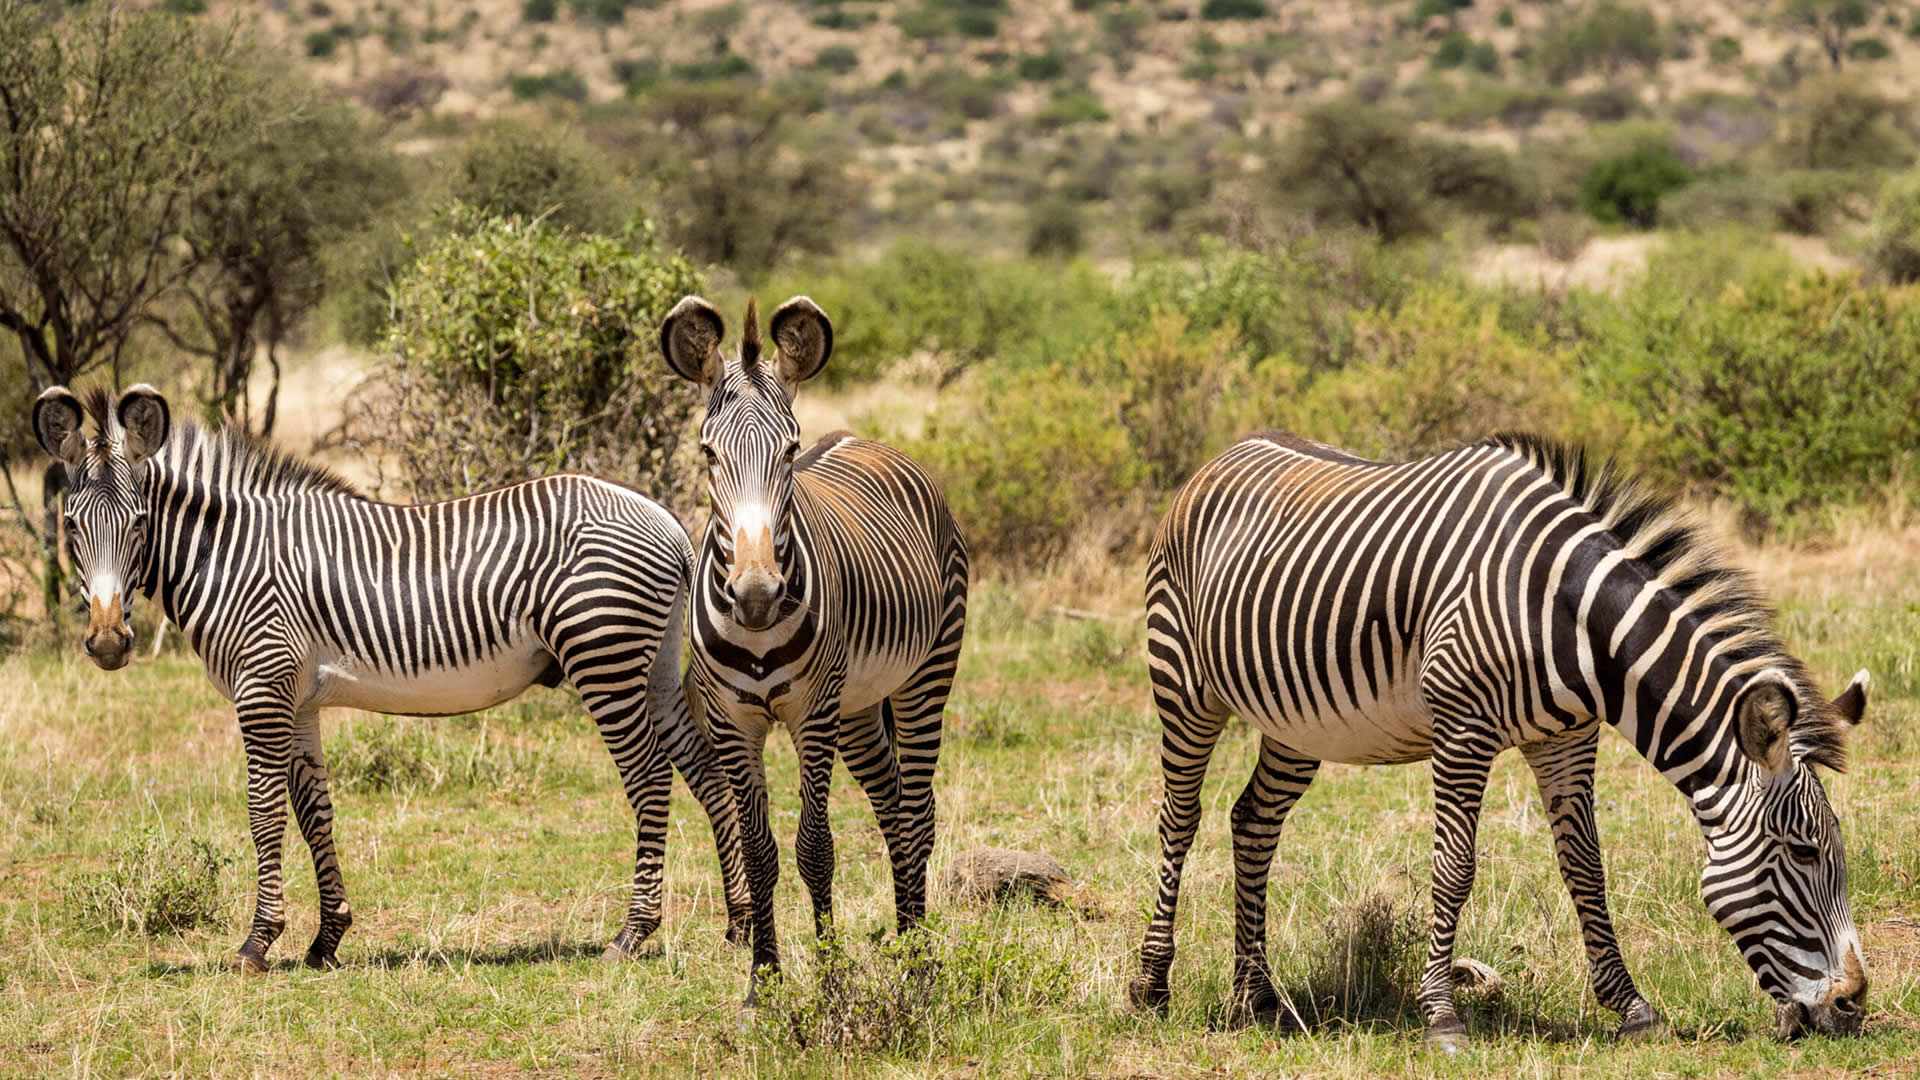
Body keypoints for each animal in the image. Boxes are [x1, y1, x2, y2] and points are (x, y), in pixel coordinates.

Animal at [31, 384, 752, 972]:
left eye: (139, 523)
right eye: (70, 524)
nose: (107, 641)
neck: (231, 555)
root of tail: (665, 520)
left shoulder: (261, 687)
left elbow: (264, 812)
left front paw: (258, 942)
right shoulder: (298, 699)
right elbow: (314, 811)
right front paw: (327, 938)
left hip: (604, 658)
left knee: (650, 779)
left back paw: (633, 933)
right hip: (651, 665)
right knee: (705, 770)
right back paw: (740, 923)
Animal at [658, 295, 969, 1000]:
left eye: (790, 449)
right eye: (706, 452)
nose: (755, 594)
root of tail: (865, 438)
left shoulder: (811, 714)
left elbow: (816, 848)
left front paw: (830, 980)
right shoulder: (733, 720)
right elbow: (760, 851)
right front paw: (764, 984)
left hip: (923, 677)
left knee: (918, 814)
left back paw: (920, 962)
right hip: (859, 708)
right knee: (892, 809)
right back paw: (906, 941)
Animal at [1129, 430, 1870, 1045]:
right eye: (1804, 852)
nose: (1854, 1005)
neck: (1570, 619)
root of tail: (1223, 452)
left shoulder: (1568, 738)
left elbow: (1586, 868)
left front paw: (1632, 1007)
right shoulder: (1463, 729)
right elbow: (1454, 869)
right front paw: (1441, 1015)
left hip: (1295, 719)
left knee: (1253, 821)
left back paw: (1257, 998)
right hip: (1183, 685)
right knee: (1180, 818)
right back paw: (1151, 986)